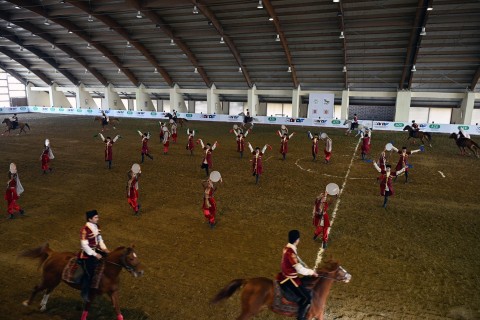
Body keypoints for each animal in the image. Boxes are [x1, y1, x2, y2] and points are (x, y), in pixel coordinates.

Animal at [212, 260, 350, 320]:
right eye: (340, 269)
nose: (349, 276)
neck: (316, 293)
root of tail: (248, 280)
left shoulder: (319, 315)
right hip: (249, 311)